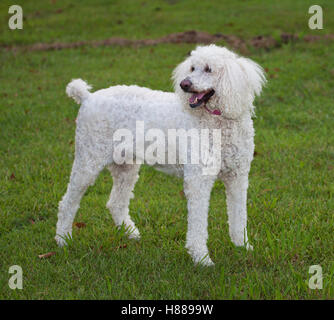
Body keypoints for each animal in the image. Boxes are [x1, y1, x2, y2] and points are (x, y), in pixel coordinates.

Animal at [56, 44, 268, 264]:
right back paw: (63, 240)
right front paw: (201, 258)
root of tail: (88, 97)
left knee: (116, 203)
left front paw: (242, 246)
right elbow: (198, 223)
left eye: (209, 69)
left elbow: (239, 214)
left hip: (126, 167)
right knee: (67, 203)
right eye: (192, 68)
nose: (184, 84)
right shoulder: (198, 180)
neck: (216, 122)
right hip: (88, 160)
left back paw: (130, 233)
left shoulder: (238, 177)